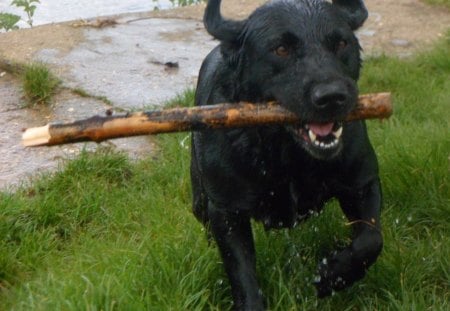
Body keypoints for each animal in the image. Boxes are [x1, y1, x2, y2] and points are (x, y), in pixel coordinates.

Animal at [190, 0, 384, 310]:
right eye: (281, 49)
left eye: (341, 43)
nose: (332, 96)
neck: (289, 155)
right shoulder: (227, 212)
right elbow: (243, 276)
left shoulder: (362, 182)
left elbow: (371, 240)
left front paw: (332, 275)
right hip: (200, 197)